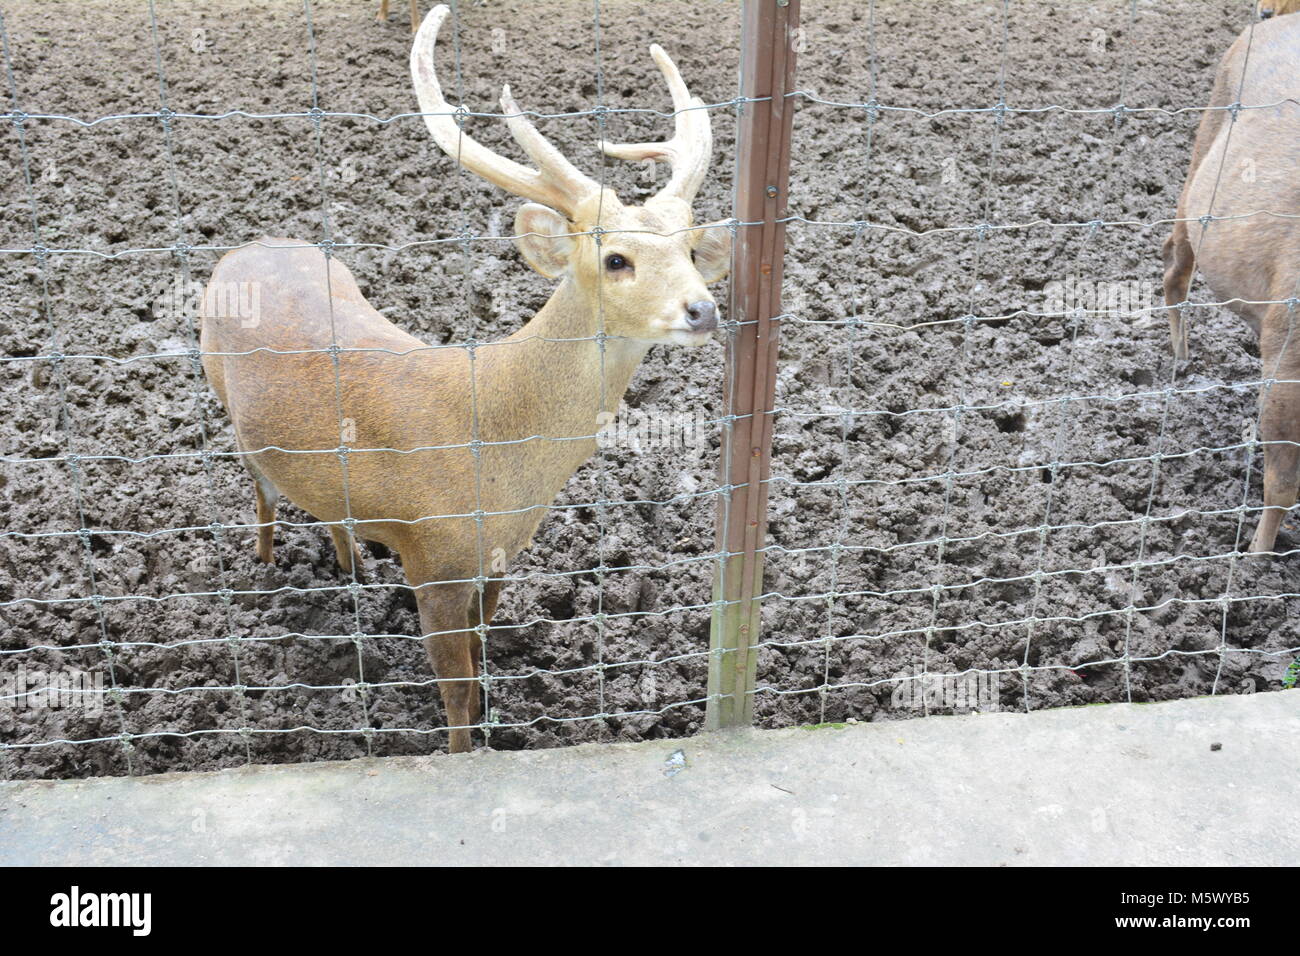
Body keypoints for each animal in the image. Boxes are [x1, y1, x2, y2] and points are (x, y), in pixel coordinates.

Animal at [200, 5, 733, 754]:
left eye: (688, 250)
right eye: (616, 259)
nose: (702, 308)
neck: (494, 457)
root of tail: (242, 250)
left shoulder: (499, 556)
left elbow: (481, 660)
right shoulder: (432, 556)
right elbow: (455, 690)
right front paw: (459, 753)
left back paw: (353, 567)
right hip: (222, 395)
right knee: (260, 487)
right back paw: (268, 566)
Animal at [1164, 13, 1300, 554]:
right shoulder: (1288, 353)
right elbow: (1281, 483)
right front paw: (1254, 558)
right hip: (1201, 154)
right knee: (1174, 268)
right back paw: (1181, 360)